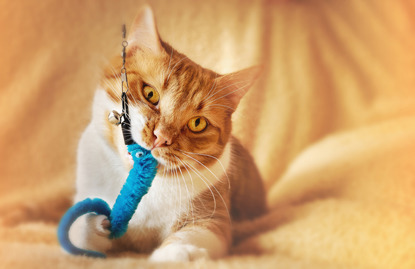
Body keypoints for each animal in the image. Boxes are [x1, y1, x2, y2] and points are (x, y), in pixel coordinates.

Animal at [69, 5, 266, 262]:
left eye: (197, 123)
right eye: (150, 93)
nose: (160, 137)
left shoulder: (212, 219)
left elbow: (189, 237)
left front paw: (175, 254)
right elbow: (80, 229)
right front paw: (94, 227)